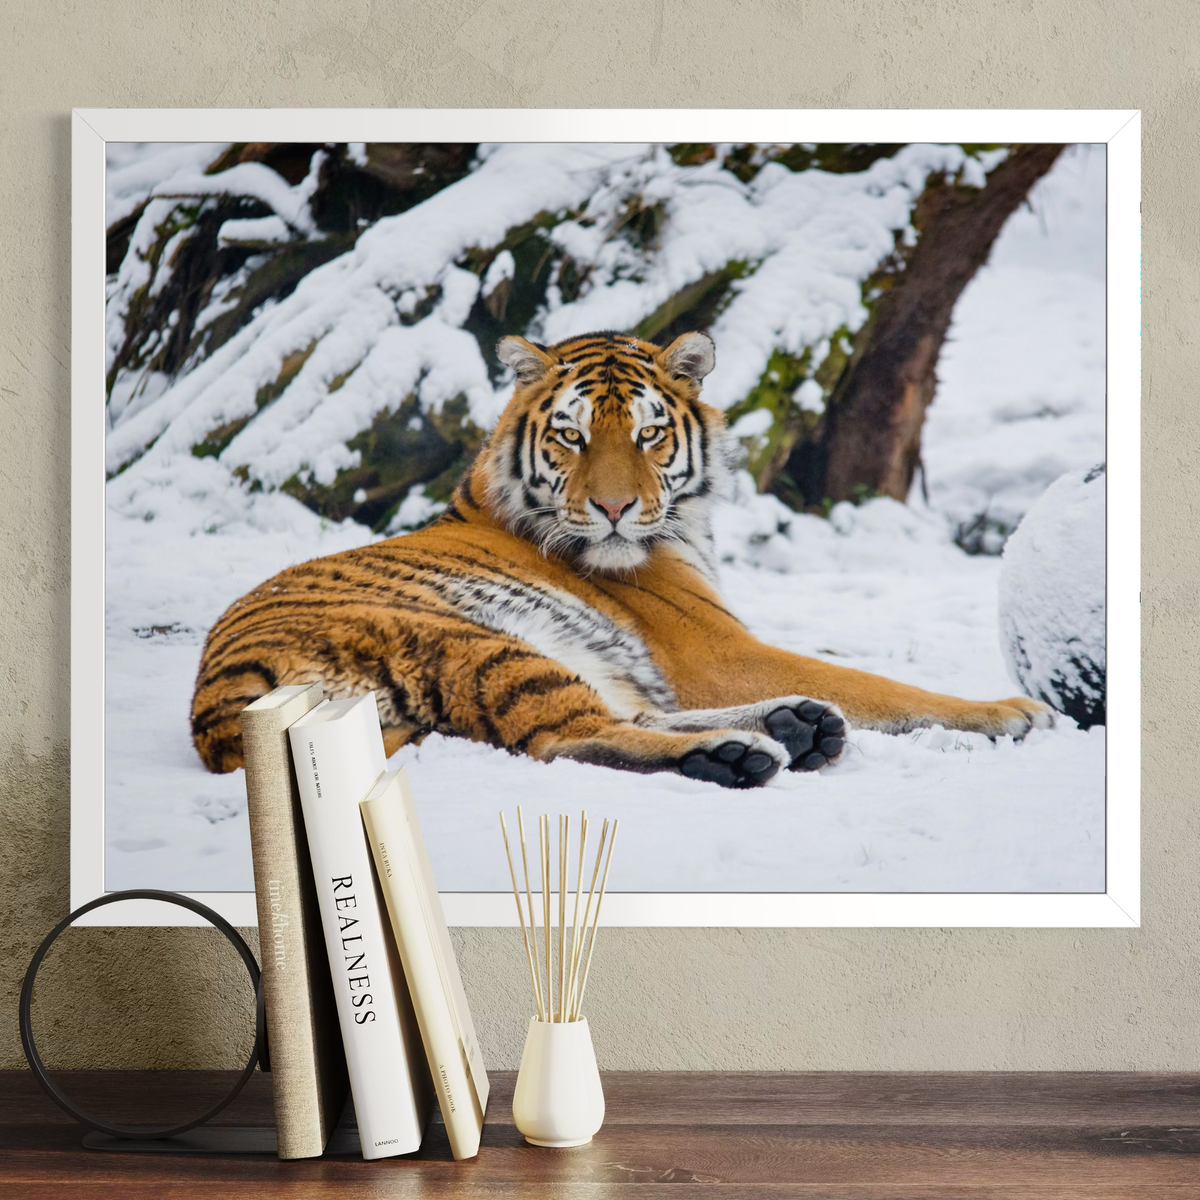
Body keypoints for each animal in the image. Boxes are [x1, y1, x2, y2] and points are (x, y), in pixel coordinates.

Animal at [191, 330, 1053, 789]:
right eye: (571, 435)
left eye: (648, 434)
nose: (613, 508)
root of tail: (218, 718)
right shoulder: (720, 651)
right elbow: (884, 685)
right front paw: (1011, 711)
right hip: (472, 642)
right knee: (563, 738)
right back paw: (738, 751)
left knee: (619, 712)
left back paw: (796, 726)